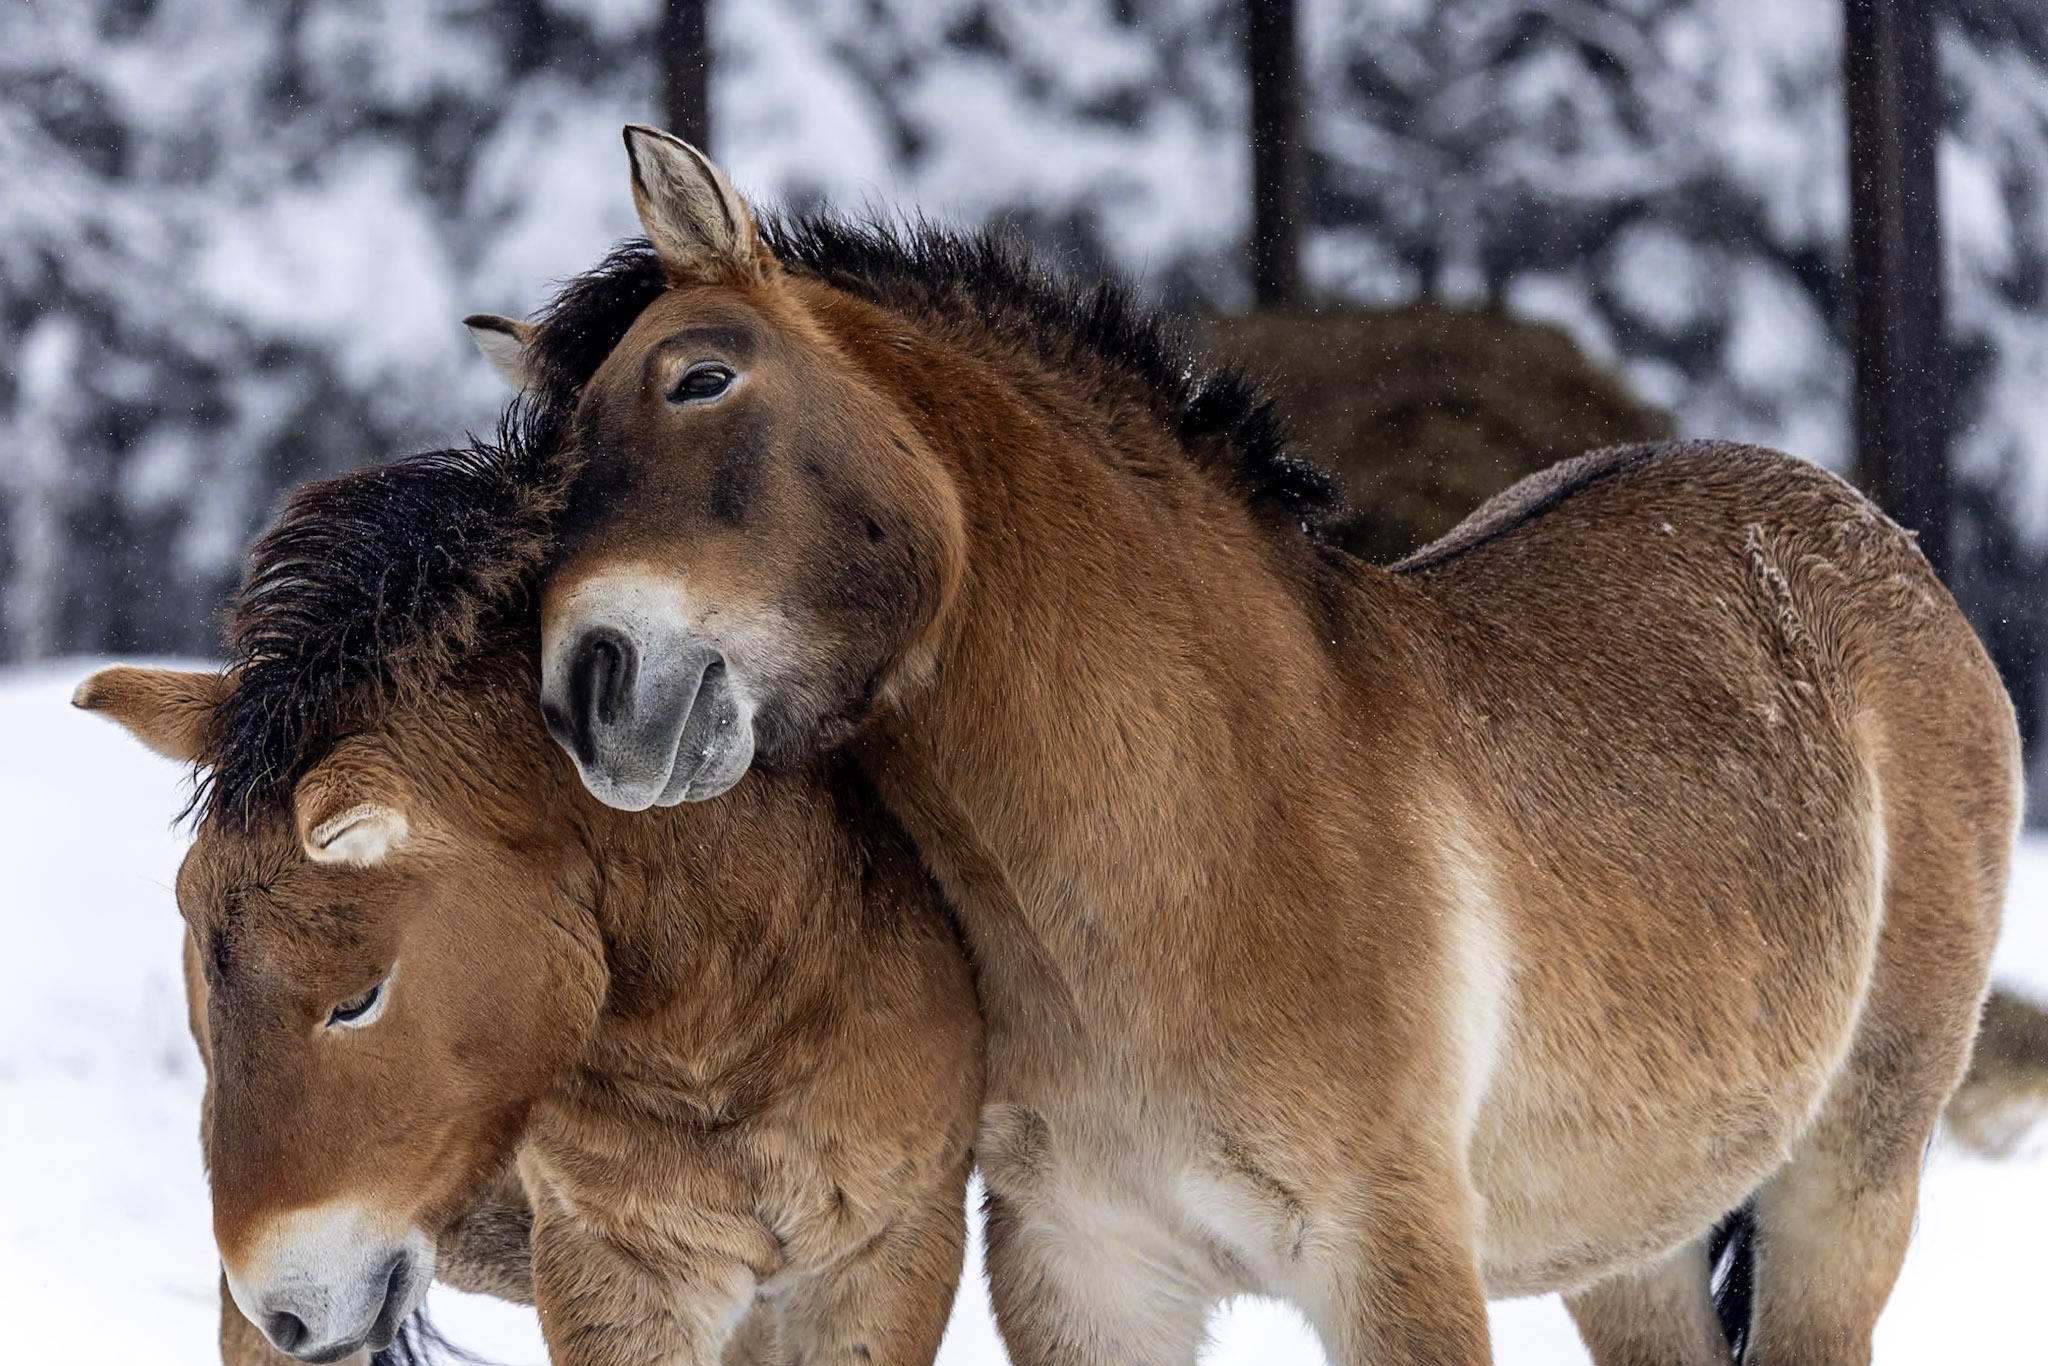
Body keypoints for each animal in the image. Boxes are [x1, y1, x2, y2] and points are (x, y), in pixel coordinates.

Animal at [462, 124, 2023, 1365]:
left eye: (700, 379)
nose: (588, 688)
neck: (1200, 835)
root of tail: (1883, 544)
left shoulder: (1390, 1253)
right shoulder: (1086, 1273)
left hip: (1847, 1180)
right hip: (1636, 1240)